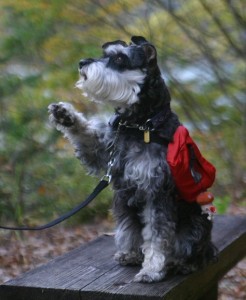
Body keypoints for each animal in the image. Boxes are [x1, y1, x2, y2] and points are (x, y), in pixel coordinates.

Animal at [48, 36, 217, 282]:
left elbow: (157, 235)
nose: (82, 63)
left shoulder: (156, 191)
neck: (139, 125)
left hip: (195, 226)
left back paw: (183, 263)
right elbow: (128, 229)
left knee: (192, 248)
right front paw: (64, 115)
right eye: (105, 53)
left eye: (119, 58)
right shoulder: (105, 156)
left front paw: (151, 269)